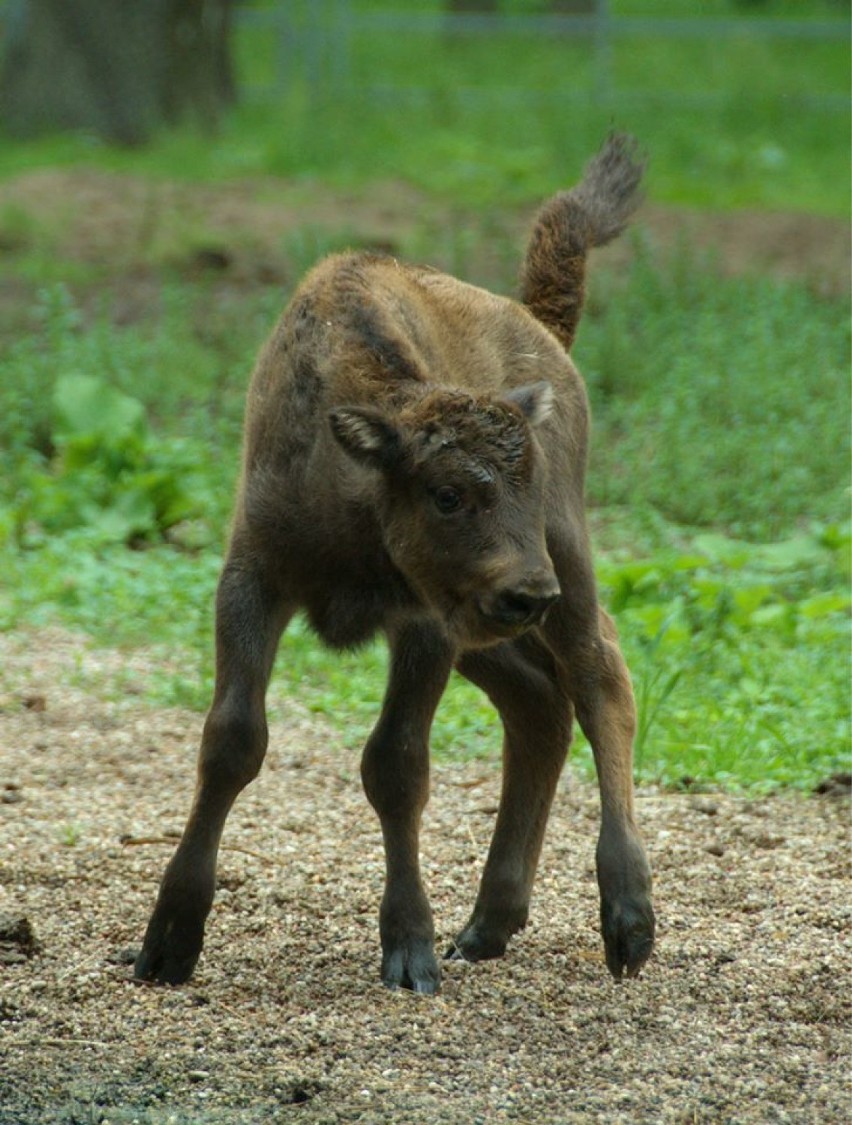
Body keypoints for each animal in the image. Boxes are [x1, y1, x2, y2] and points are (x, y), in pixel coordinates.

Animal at [134, 133, 652, 994]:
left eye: (526, 481)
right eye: (447, 493)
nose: (528, 591)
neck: (356, 472)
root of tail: (538, 322)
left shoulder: (423, 623)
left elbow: (397, 763)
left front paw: (409, 947)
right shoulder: (254, 580)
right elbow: (232, 738)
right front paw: (168, 941)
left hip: (566, 564)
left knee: (597, 678)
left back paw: (628, 917)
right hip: (490, 626)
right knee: (539, 704)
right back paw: (488, 924)